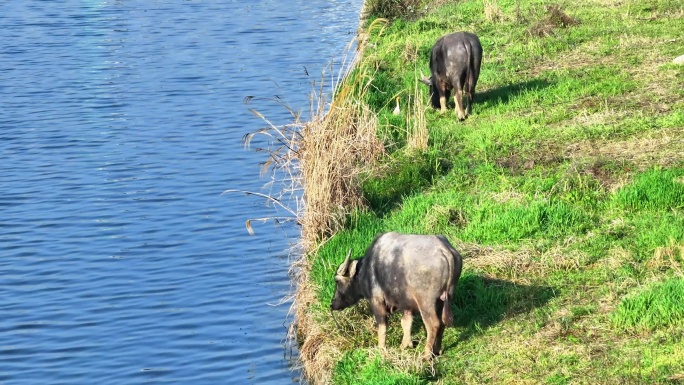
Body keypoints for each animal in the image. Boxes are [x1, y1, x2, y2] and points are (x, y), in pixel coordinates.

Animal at [328, 230, 462, 358]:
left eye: (337, 281)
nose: (332, 304)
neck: (367, 270)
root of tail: (445, 250)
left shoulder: (377, 301)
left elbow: (382, 327)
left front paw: (380, 349)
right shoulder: (407, 305)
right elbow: (406, 323)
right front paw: (405, 345)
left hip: (426, 303)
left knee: (433, 325)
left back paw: (426, 355)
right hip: (444, 299)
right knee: (442, 323)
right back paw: (437, 350)